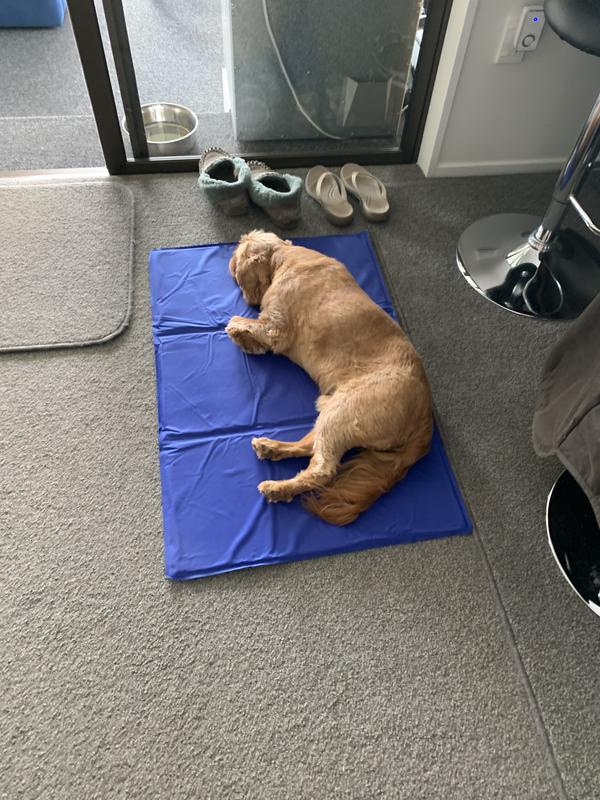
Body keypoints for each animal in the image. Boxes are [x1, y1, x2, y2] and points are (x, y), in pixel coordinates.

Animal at [225, 230, 432, 524]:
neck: (283, 257)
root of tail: (426, 416)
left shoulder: (275, 325)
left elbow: (241, 323)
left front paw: (238, 332)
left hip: (344, 412)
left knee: (322, 470)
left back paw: (278, 488)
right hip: (332, 411)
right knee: (310, 447)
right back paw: (271, 447)